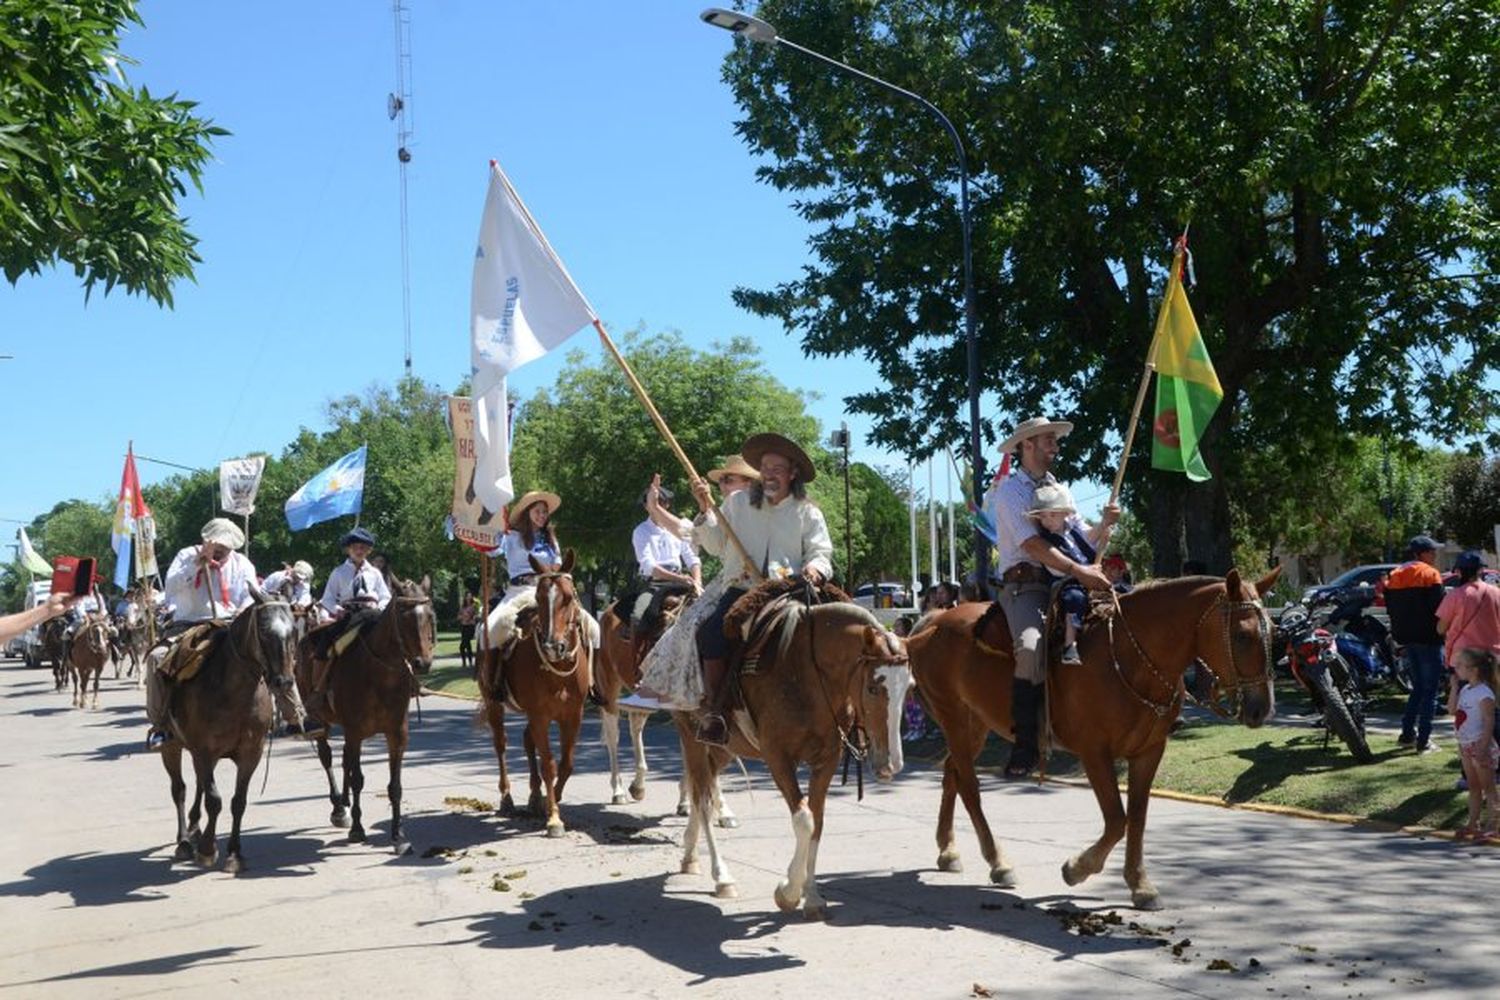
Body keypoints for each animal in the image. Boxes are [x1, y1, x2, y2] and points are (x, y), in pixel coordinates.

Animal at [161, 590, 295, 869]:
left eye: (293, 629)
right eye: (263, 629)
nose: (284, 682)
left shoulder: (251, 753)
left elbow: (238, 802)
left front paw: (234, 853)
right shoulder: (203, 750)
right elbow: (214, 800)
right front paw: (207, 850)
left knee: (199, 783)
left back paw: (194, 827)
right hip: (170, 745)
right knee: (179, 788)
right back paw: (184, 841)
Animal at [294, 578, 432, 851]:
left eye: (430, 615)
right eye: (404, 617)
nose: (423, 663)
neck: (380, 675)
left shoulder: (397, 734)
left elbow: (395, 786)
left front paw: (398, 835)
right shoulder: (355, 732)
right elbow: (358, 778)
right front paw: (357, 829)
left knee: (346, 759)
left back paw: (345, 804)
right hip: (323, 721)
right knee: (327, 757)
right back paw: (339, 808)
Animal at [483, 551, 594, 839]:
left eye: (568, 597)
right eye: (540, 598)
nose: (553, 646)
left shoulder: (573, 715)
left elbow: (566, 764)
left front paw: (548, 801)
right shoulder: (541, 716)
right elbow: (549, 765)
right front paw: (553, 818)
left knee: (526, 740)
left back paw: (534, 797)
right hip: (493, 703)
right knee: (501, 744)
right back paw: (507, 798)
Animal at [675, 599, 906, 917]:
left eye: (910, 688)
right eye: (873, 687)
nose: (891, 765)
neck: (807, 671)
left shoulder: (827, 759)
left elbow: (817, 821)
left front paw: (813, 896)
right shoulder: (778, 757)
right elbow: (804, 820)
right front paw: (788, 892)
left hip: (724, 748)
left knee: (704, 790)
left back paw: (690, 855)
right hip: (692, 737)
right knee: (703, 799)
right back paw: (722, 877)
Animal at [900, 566, 1278, 911]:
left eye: (1273, 631)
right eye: (1242, 635)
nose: (1261, 708)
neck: (1127, 655)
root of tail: (932, 622)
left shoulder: (1149, 751)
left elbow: (1136, 818)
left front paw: (1140, 885)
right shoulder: (1094, 752)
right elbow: (1117, 820)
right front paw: (1077, 869)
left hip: (974, 723)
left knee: (951, 773)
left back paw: (948, 851)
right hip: (953, 717)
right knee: (969, 786)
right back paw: (998, 862)